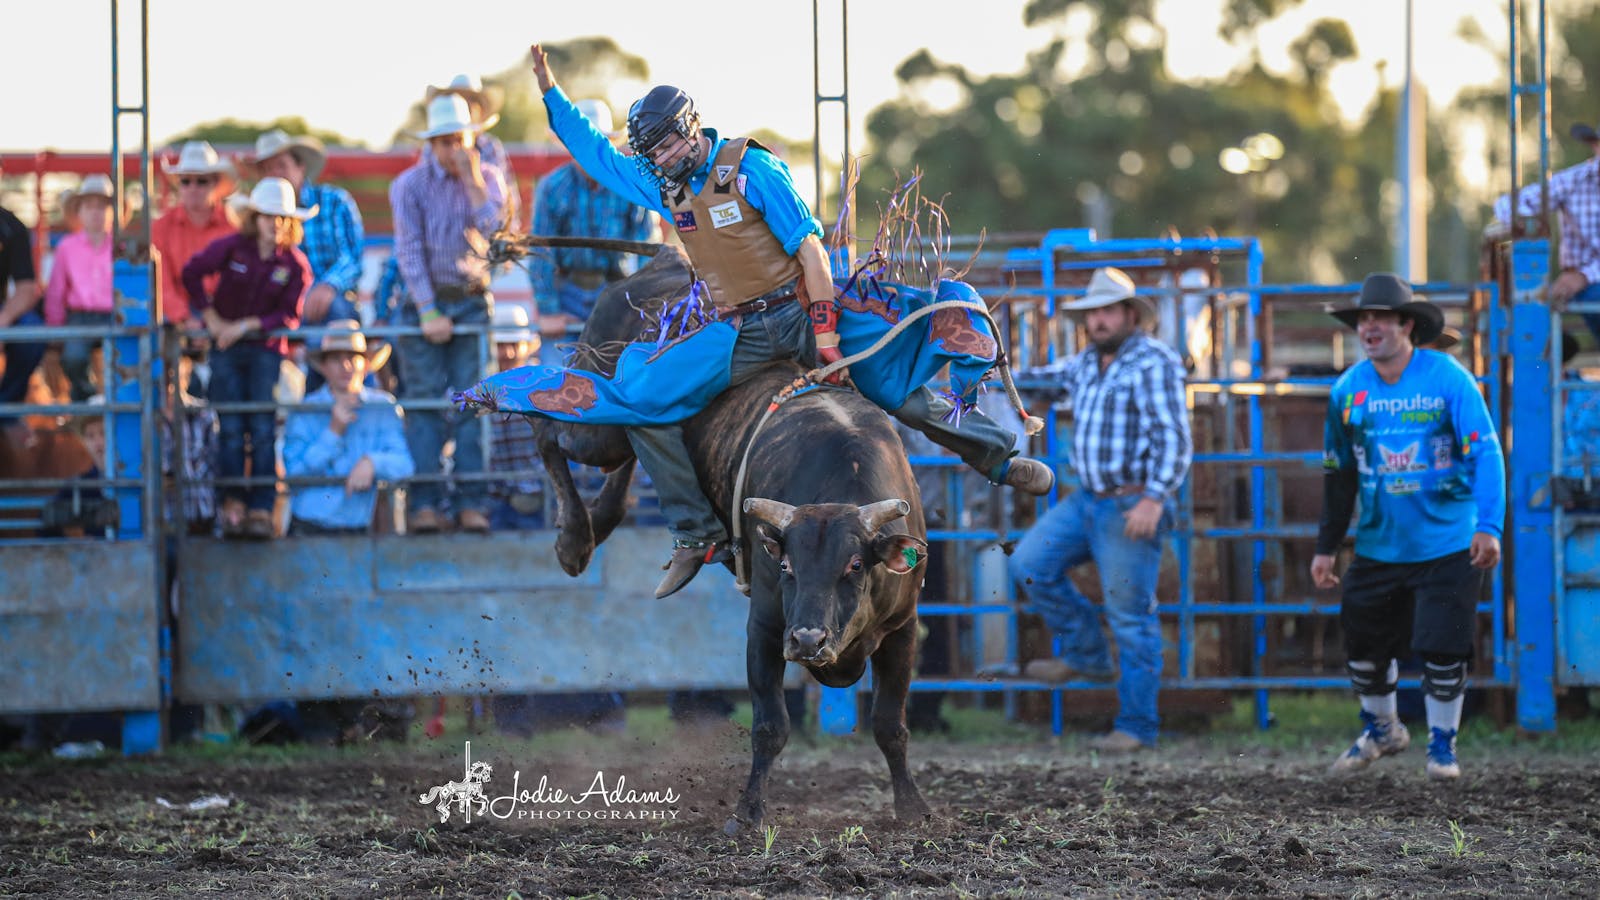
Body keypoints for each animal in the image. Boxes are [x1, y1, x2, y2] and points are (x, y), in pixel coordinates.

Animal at [496, 241, 934, 832]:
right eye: (786, 566)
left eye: (855, 566)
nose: (807, 641)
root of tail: (666, 259)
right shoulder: (765, 626)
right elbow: (770, 726)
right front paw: (747, 813)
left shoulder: (903, 628)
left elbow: (891, 723)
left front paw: (912, 806)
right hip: (600, 415)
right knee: (551, 428)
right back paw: (573, 538)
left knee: (630, 452)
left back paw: (601, 521)